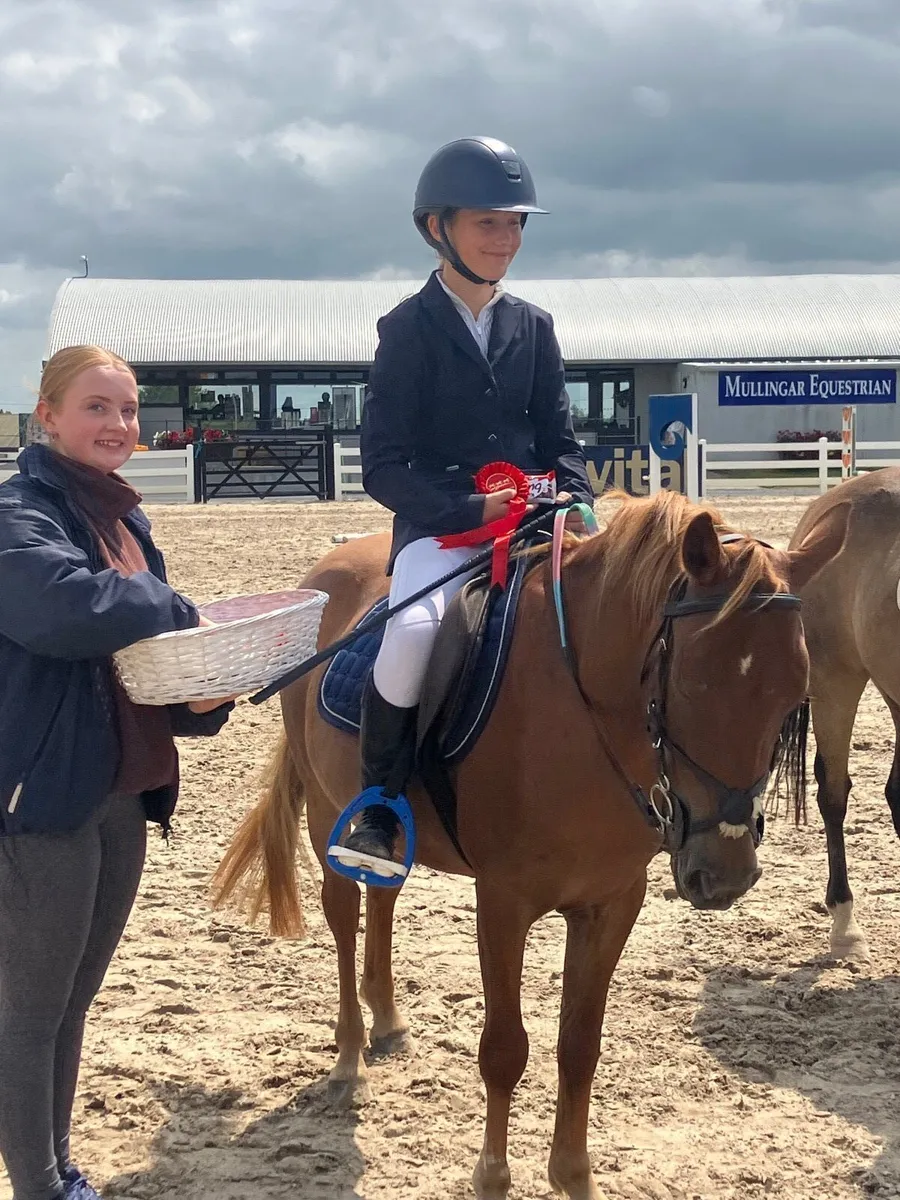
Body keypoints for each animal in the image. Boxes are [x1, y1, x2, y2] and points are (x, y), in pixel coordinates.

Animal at [214, 488, 847, 1200]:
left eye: (795, 693)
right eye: (690, 683)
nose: (726, 873)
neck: (585, 713)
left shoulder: (612, 902)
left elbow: (580, 1044)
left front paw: (574, 1176)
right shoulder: (504, 902)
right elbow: (503, 1049)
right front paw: (493, 1176)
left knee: (384, 896)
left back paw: (388, 1020)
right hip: (329, 816)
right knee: (345, 918)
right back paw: (350, 1055)